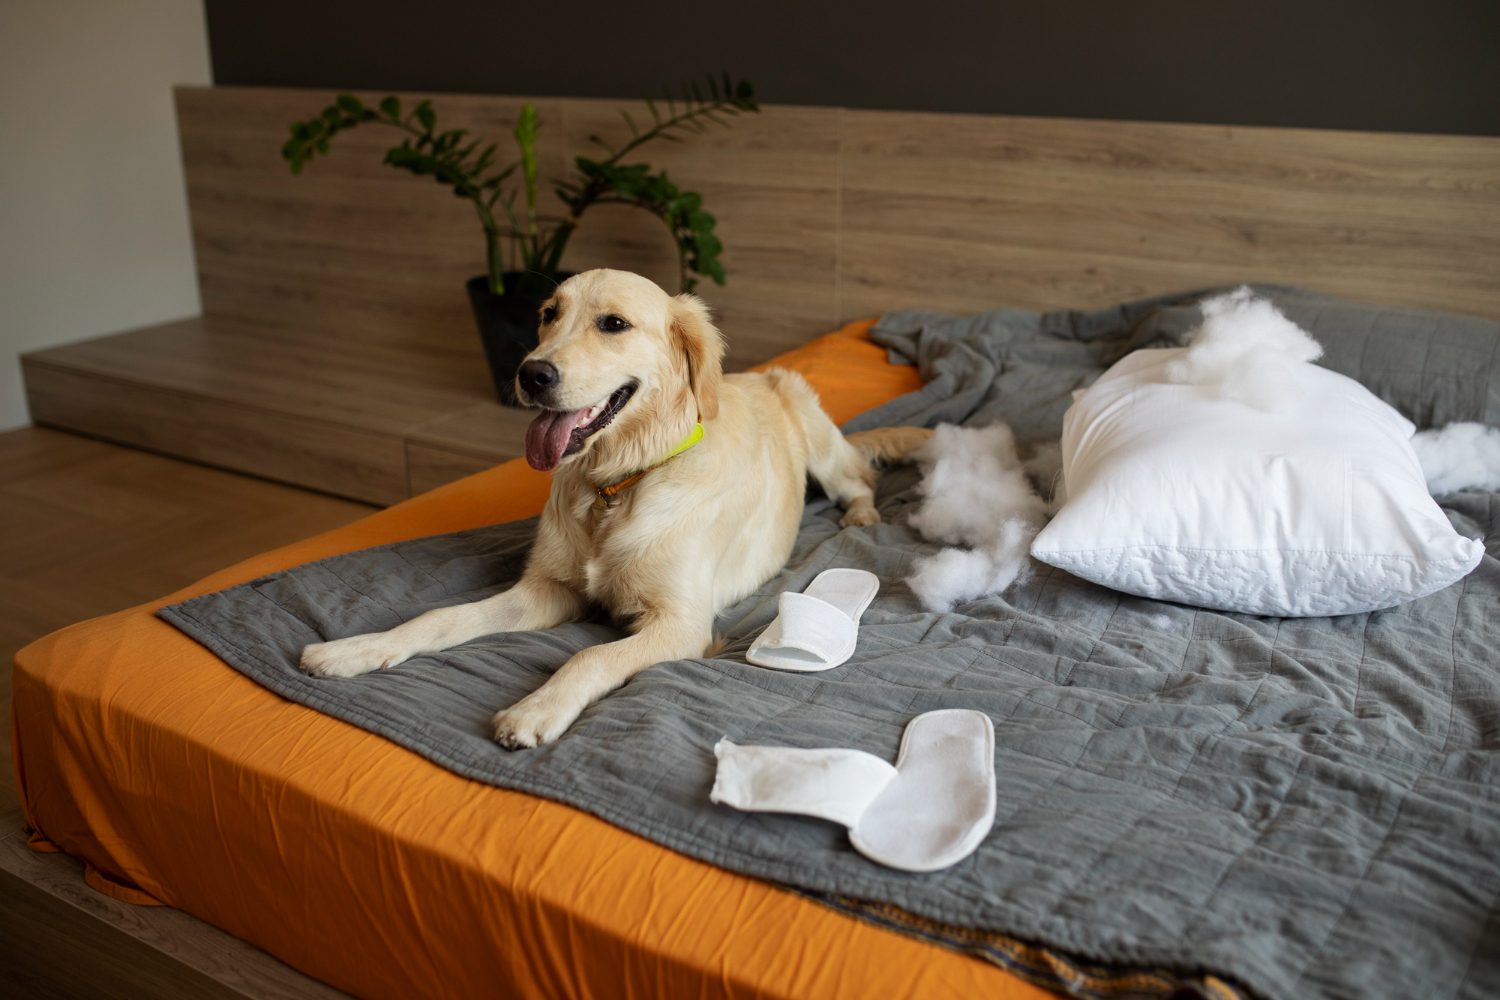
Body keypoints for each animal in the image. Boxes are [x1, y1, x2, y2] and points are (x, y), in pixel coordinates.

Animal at [301, 269, 924, 746]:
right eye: (548, 314)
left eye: (614, 324)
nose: (530, 373)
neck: (617, 485)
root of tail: (759, 374)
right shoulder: (545, 591)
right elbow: (439, 617)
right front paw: (357, 649)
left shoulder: (681, 623)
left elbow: (590, 657)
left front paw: (534, 710)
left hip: (816, 433)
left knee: (859, 477)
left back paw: (861, 516)